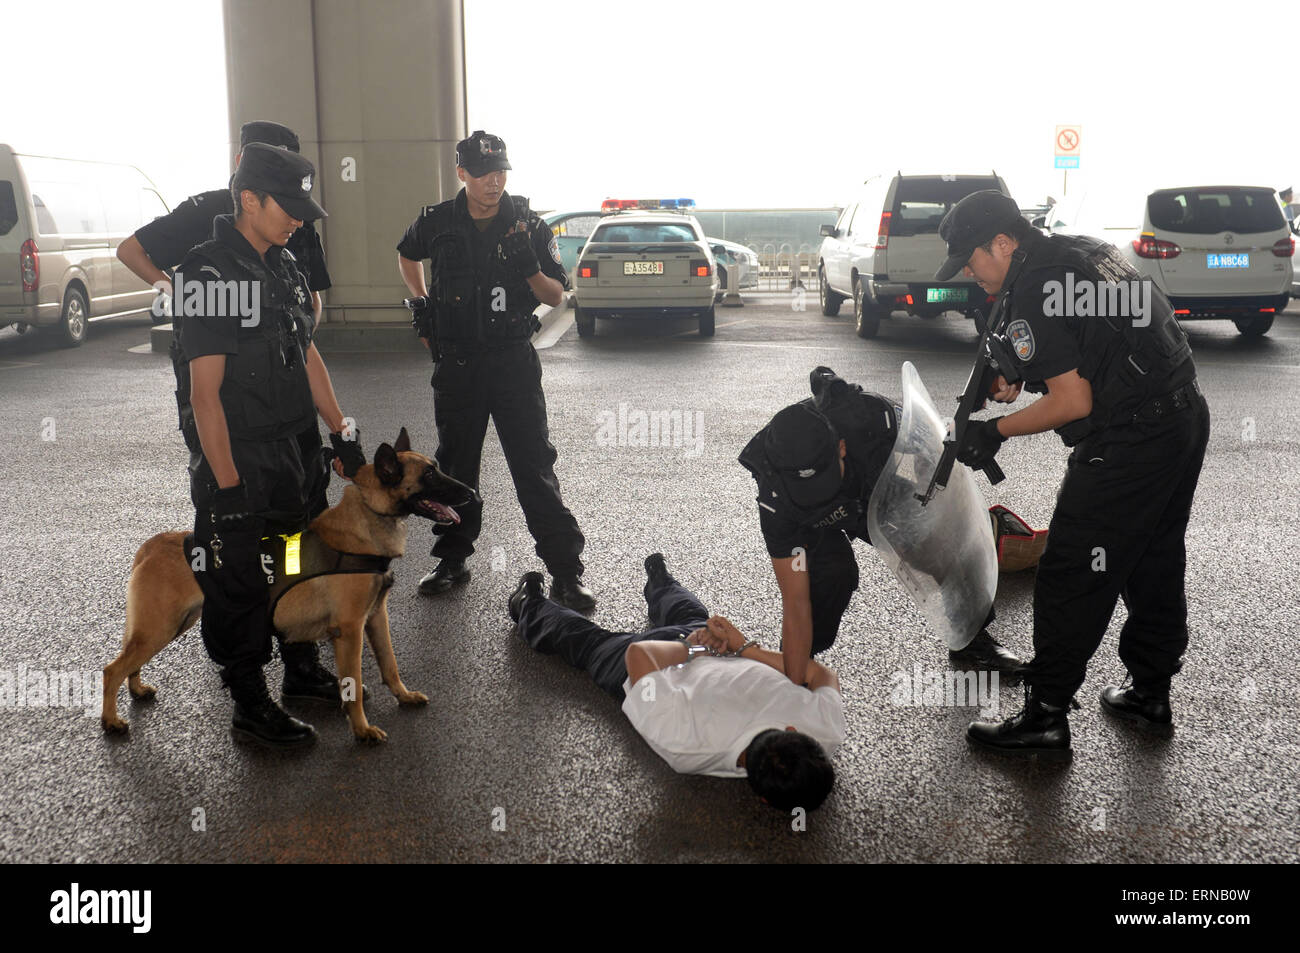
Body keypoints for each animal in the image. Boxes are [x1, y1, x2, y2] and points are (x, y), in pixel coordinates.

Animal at [101, 426, 478, 743]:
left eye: (436, 468)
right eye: (429, 475)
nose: (472, 493)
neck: (367, 519)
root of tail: (154, 543)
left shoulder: (375, 618)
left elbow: (390, 663)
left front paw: (403, 695)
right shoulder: (350, 631)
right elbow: (353, 684)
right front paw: (361, 729)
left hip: (169, 626)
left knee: (129, 662)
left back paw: (136, 690)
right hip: (161, 628)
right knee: (111, 669)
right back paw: (112, 721)